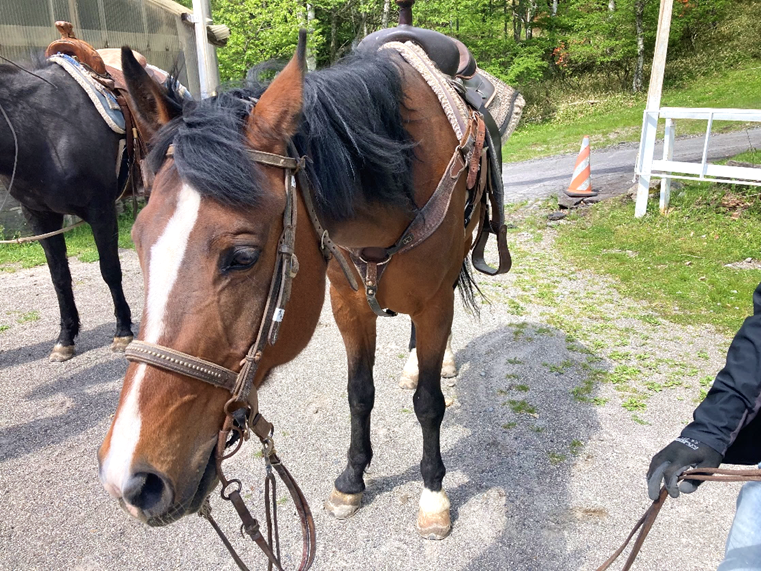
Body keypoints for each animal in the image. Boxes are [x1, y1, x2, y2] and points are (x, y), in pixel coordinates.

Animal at [0, 55, 136, 360]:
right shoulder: (40, 217)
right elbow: (59, 278)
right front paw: (65, 338)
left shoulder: (101, 210)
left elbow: (110, 269)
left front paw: (123, 332)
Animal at [99, 33, 486, 544]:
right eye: (139, 241)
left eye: (243, 256)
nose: (129, 479)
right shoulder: (347, 305)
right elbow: (359, 393)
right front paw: (352, 480)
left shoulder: (435, 304)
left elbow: (428, 404)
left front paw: (433, 495)